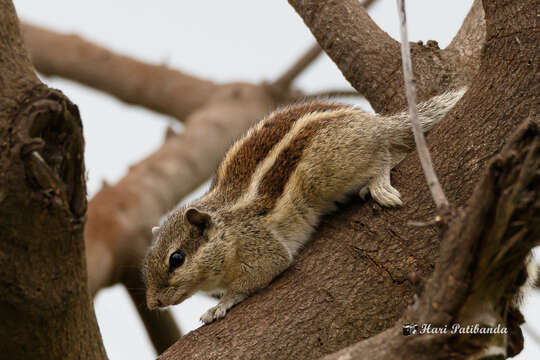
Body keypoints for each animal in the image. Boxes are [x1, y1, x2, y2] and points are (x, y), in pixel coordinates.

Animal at [144, 88, 468, 324]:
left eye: (176, 259)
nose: (152, 303)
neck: (227, 229)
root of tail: (376, 123)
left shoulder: (259, 246)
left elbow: (256, 277)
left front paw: (221, 304)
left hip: (328, 166)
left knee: (382, 155)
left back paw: (378, 183)